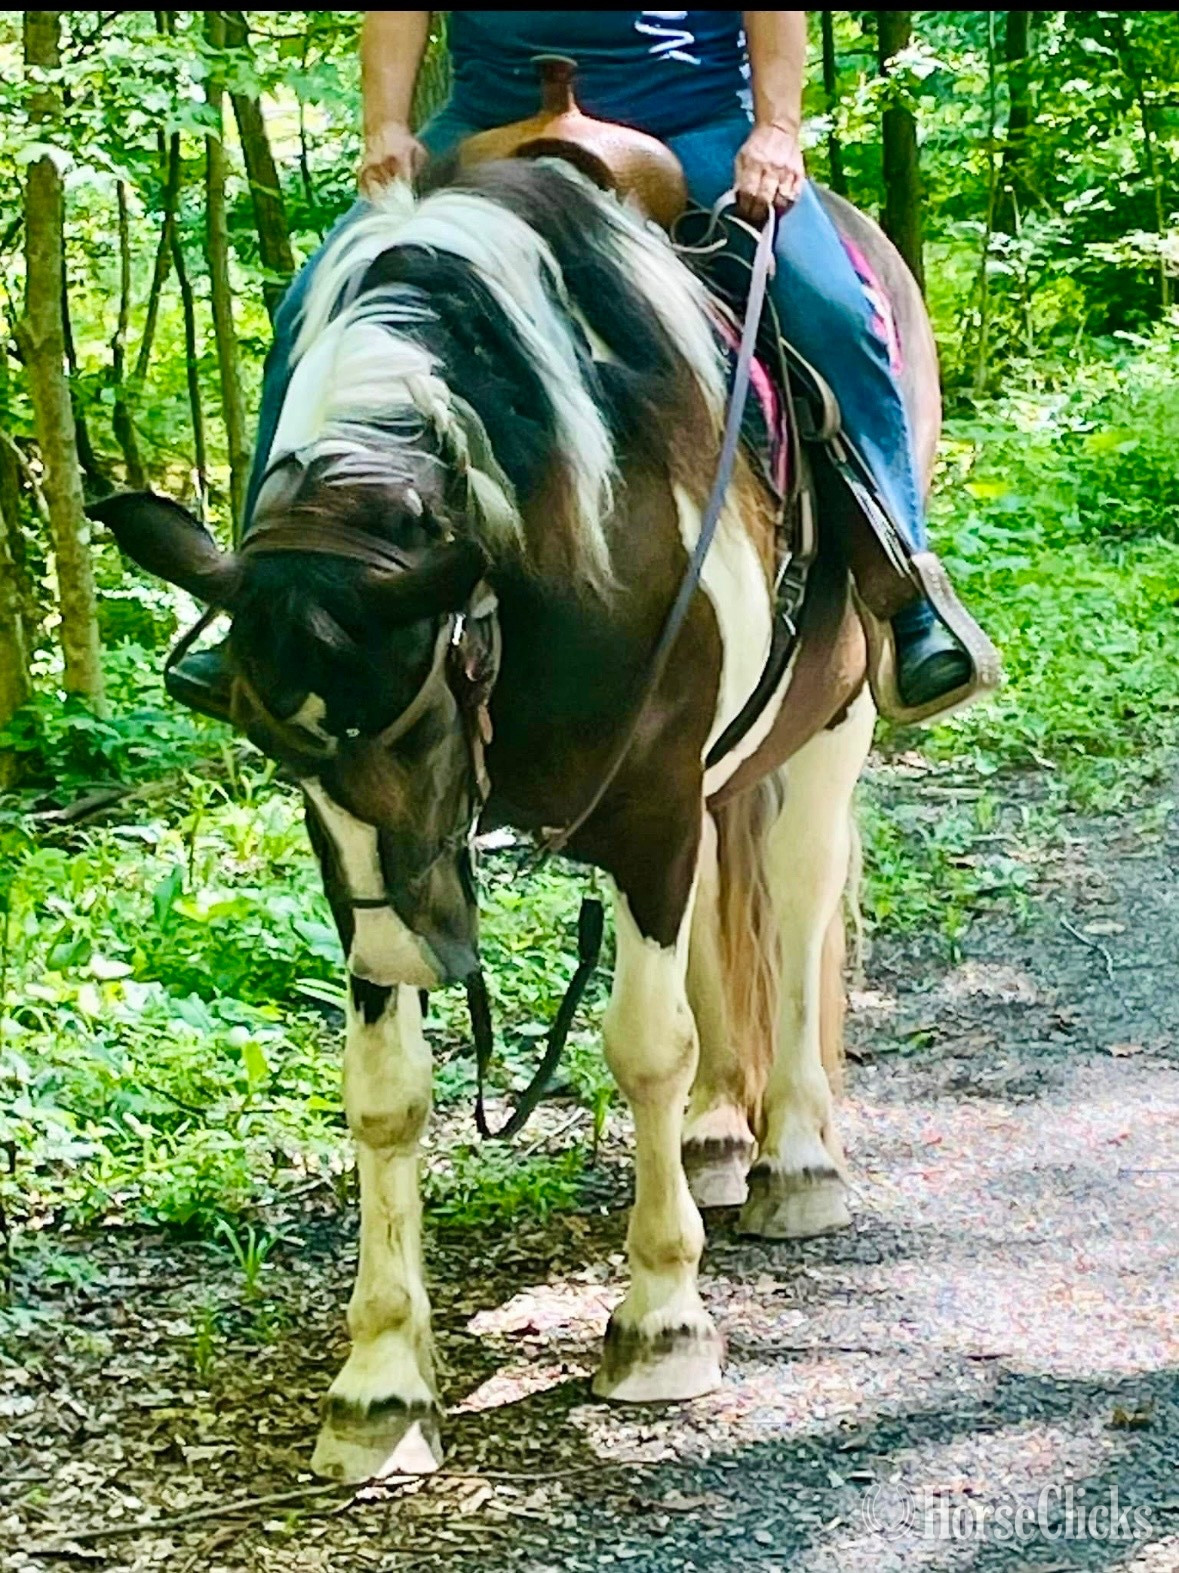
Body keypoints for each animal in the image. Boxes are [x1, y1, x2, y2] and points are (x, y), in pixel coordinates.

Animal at [95, 155, 939, 1482]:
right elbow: (386, 1091)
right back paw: (714, 1140)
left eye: (423, 721)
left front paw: (661, 1324)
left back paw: (795, 1159)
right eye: (280, 748)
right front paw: (380, 1383)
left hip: (832, 724)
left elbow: (645, 1045)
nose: (410, 953)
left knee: (798, 918)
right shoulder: (373, 872)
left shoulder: (649, 805)